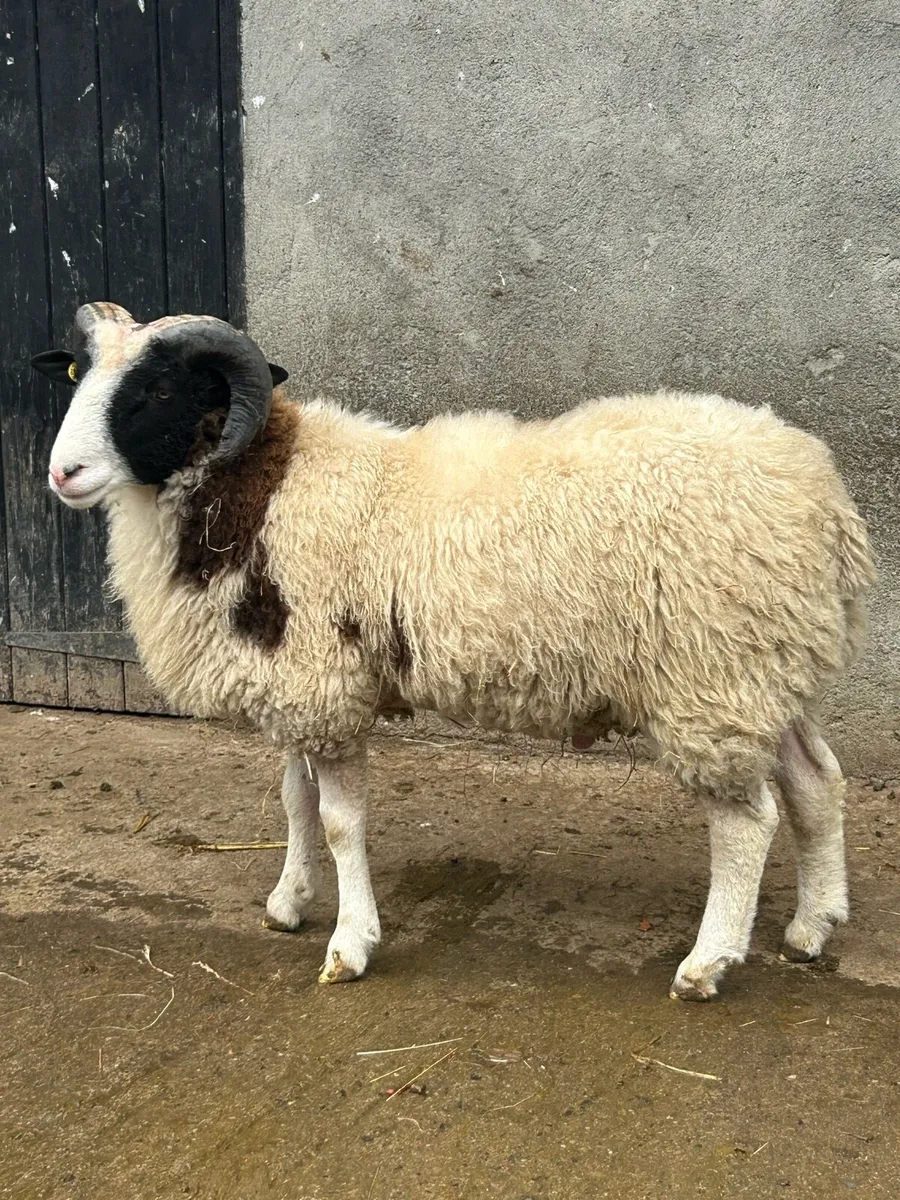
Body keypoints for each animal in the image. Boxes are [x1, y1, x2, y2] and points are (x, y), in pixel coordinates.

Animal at [32, 301, 876, 1000]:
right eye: (76, 375)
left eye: (158, 390)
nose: (62, 473)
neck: (264, 489)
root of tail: (823, 494)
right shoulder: (299, 682)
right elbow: (294, 802)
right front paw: (288, 903)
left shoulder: (326, 687)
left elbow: (340, 824)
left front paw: (350, 946)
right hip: (765, 665)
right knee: (815, 781)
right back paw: (811, 927)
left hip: (712, 674)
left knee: (747, 822)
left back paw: (707, 965)